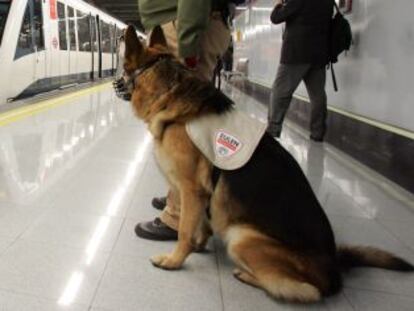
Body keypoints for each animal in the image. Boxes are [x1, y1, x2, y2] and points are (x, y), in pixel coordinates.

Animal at [121, 25, 412, 304]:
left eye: (123, 69)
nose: (115, 81)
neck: (169, 91)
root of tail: (334, 269)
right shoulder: (201, 195)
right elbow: (199, 226)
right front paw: (200, 245)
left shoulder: (192, 189)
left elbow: (183, 231)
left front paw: (174, 260)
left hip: (242, 237)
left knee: (304, 290)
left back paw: (249, 275)